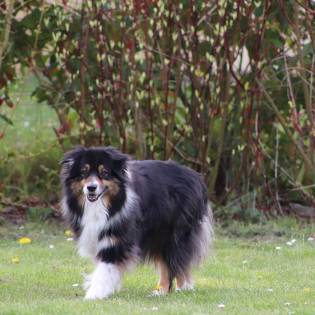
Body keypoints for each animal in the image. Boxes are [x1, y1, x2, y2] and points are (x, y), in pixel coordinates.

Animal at [60, 147, 214, 300]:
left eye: (105, 173)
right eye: (83, 172)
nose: (91, 187)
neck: (104, 204)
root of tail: (196, 177)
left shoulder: (117, 238)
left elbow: (105, 268)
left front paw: (94, 294)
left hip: (175, 231)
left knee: (179, 258)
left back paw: (181, 288)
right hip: (158, 233)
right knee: (167, 262)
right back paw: (162, 291)